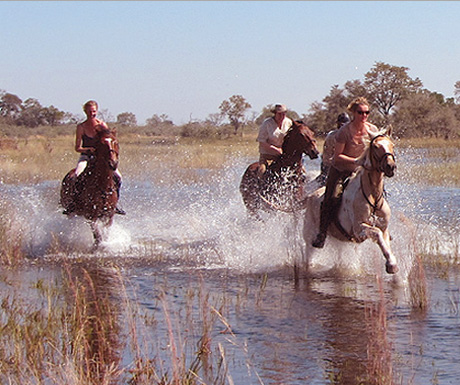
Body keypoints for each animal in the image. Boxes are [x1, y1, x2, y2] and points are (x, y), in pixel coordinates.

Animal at [302, 130, 398, 274]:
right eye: (376, 146)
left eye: (392, 145)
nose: (390, 167)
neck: (373, 197)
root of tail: (310, 196)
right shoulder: (358, 229)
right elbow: (377, 233)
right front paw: (391, 265)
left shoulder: (384, 228)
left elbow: (384, 241)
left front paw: (392, 262)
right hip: (310, 236)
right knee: (309, 255)